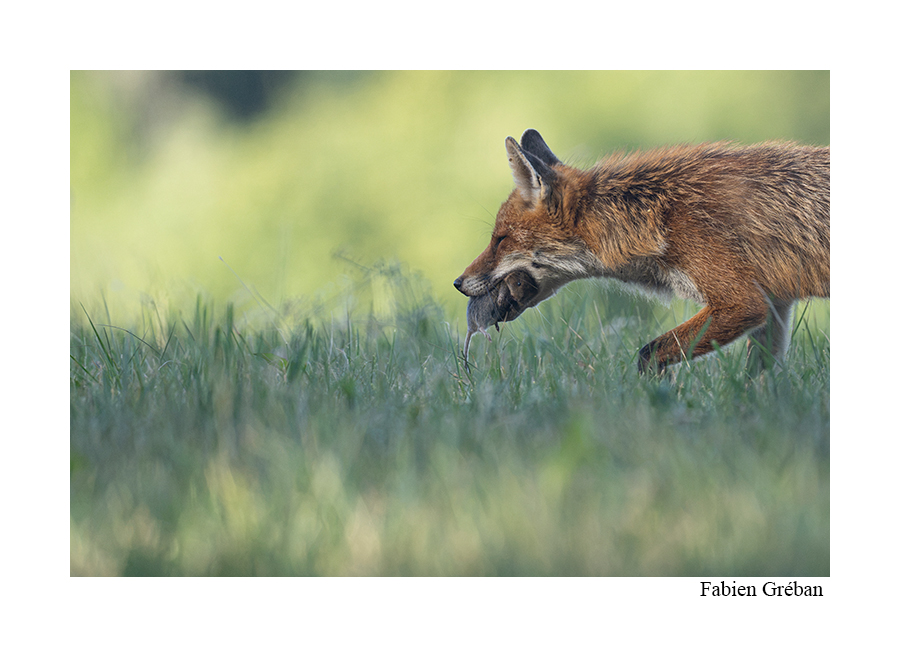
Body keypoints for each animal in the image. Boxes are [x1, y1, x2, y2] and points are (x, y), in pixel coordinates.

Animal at [453, 129, 829, 374]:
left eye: (500, 240)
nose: (458, 282)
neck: (657, 213)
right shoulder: (775, 303)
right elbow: (760, 380)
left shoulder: (741, 302)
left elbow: (649, 353)